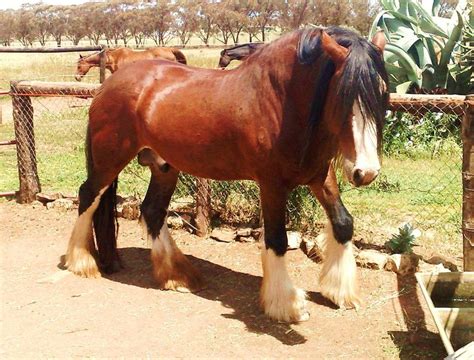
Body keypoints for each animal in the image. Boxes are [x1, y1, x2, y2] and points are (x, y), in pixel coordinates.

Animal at [65, 26, 386, 322]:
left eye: (382, 92)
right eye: (342, 95)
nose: (365, 172)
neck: (280, 101)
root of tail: (108, 85)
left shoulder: (319, 176)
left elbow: (343, 223)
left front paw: (341, 293)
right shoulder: (272, 184)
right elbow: (277, 239)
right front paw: (286, 306)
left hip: (164, 167)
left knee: (152, 211)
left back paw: (177, 276)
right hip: (109, 160)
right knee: (89, 196)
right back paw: (81, 262)